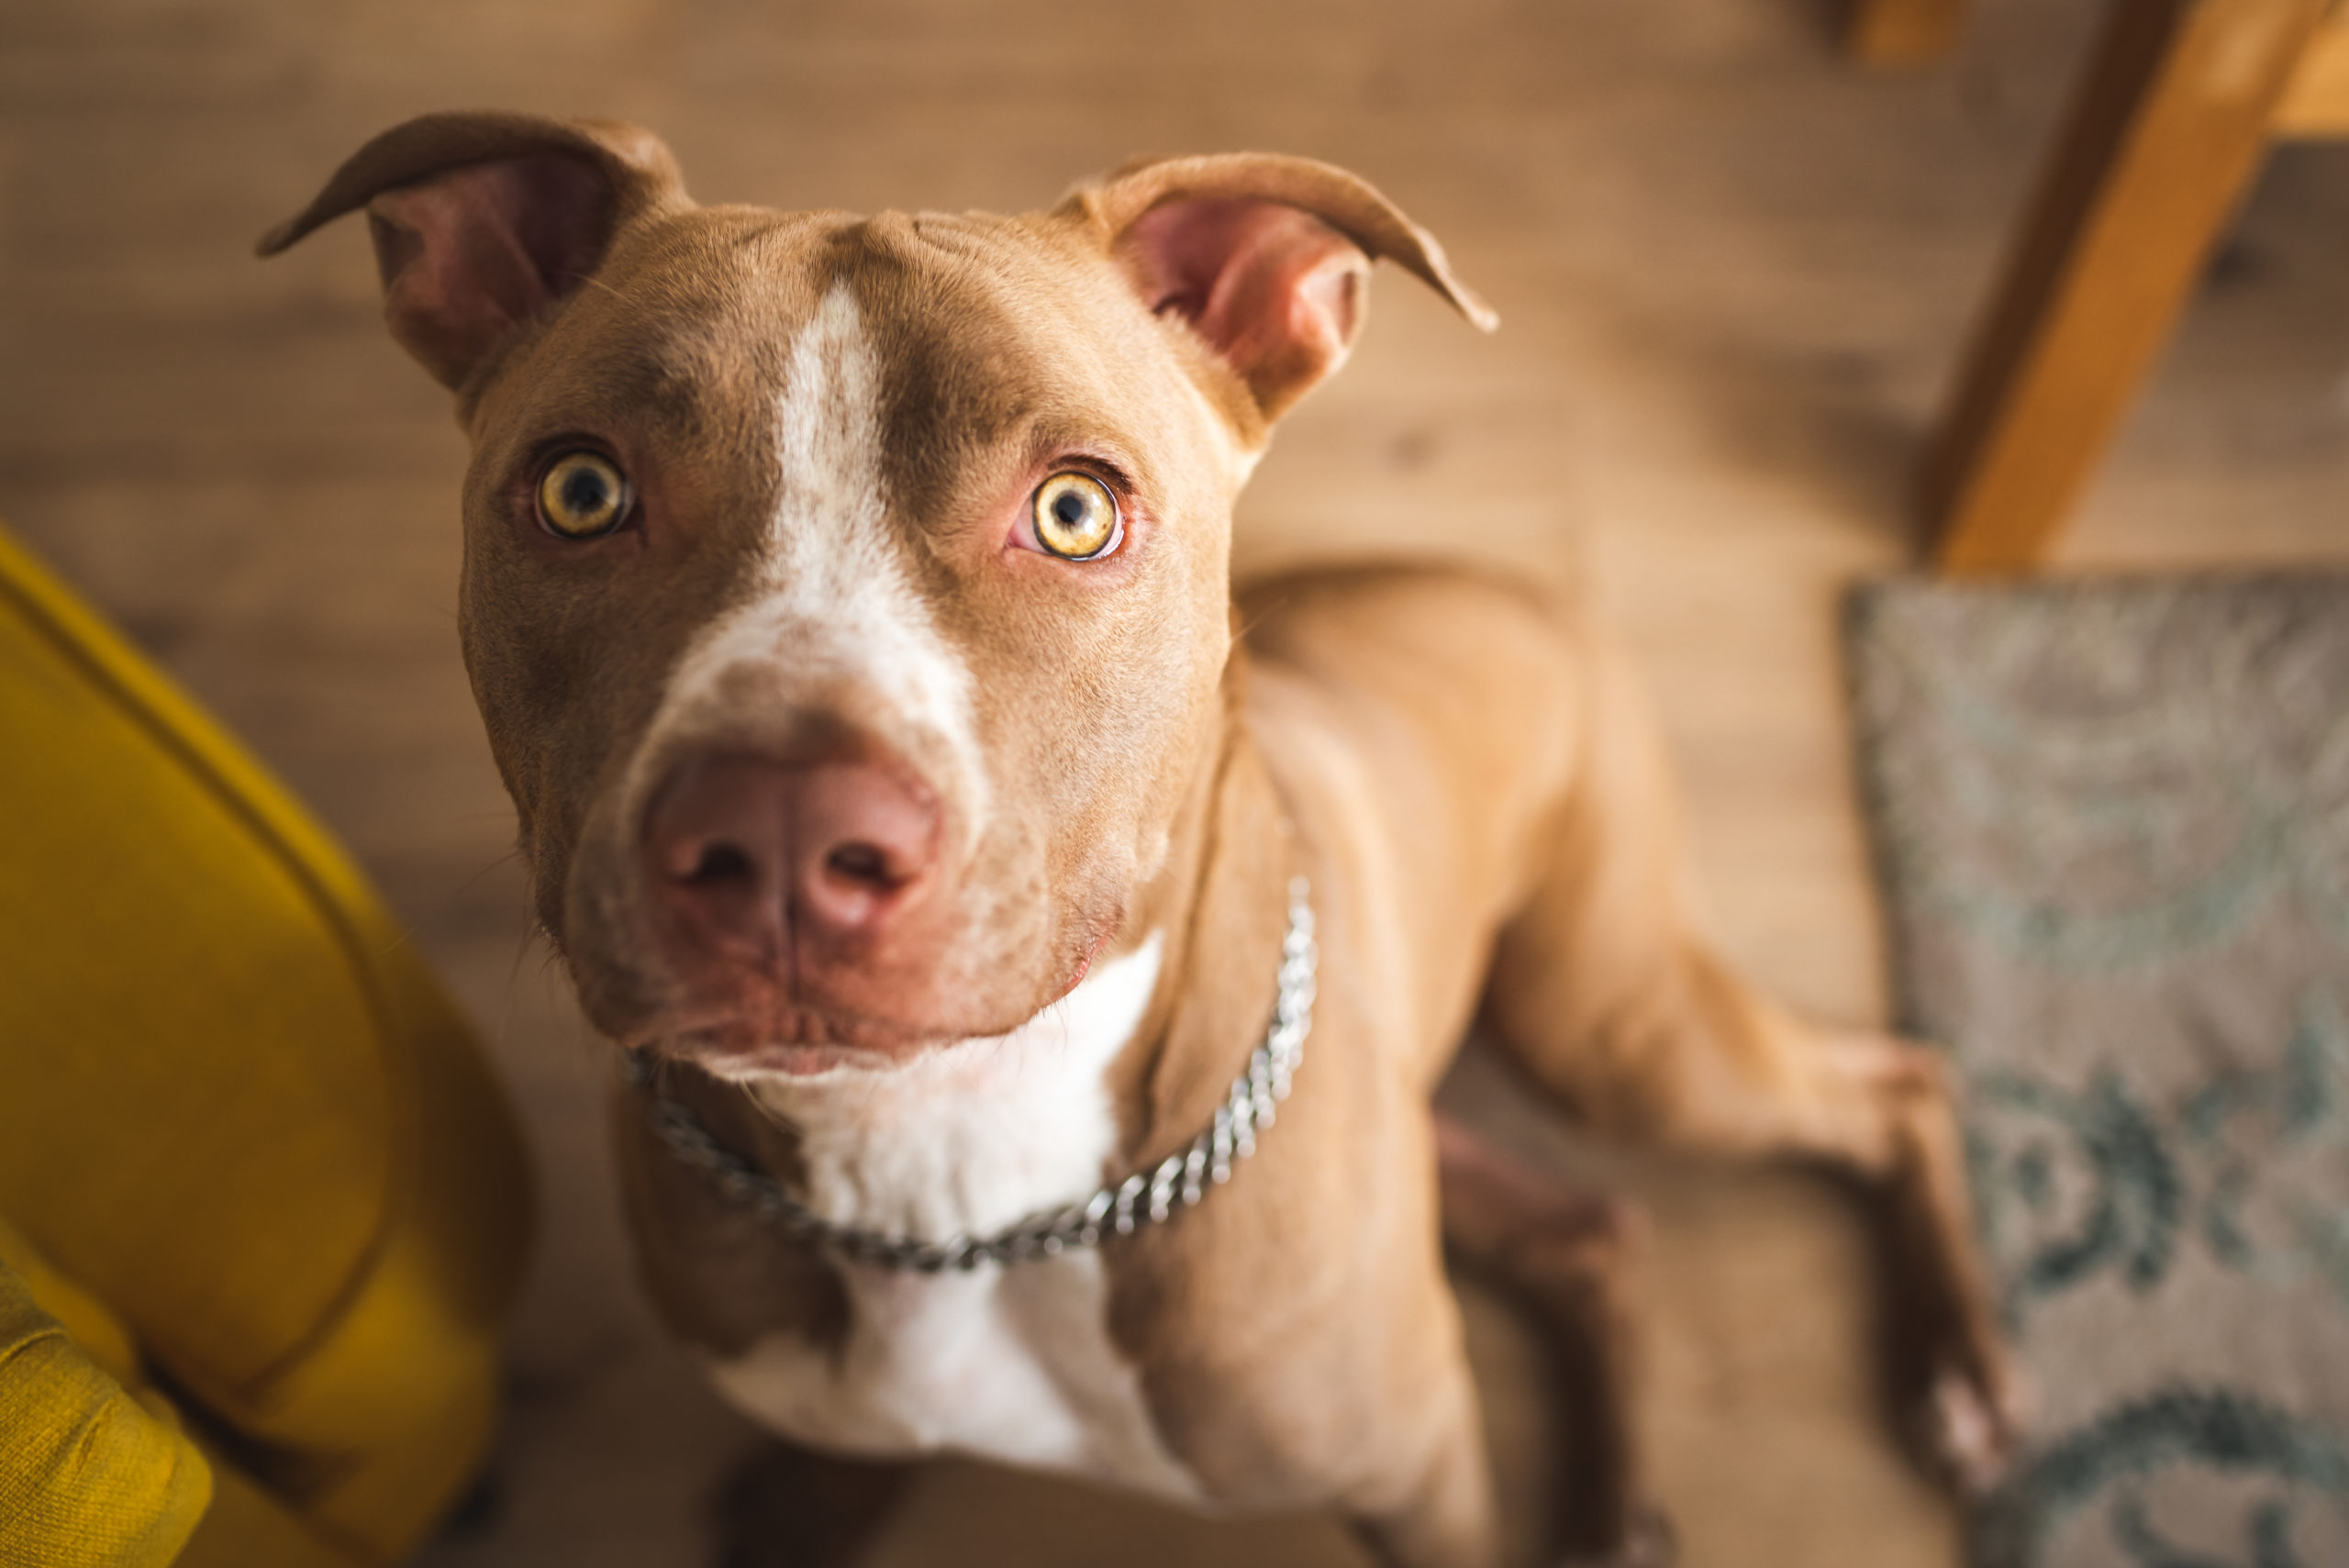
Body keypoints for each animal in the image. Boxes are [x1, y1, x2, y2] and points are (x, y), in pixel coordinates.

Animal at [262, 113, 2020, 1568]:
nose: (778, 829)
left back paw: (1963, 1377)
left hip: (1610, 1018)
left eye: (1074, 510)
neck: (949, 1173)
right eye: (579, 491)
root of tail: (1496, 580)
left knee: (1893, 1085)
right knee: (1594, 1226)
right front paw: (816, 1505)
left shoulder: (1421, 1470)